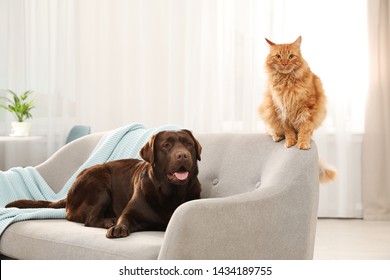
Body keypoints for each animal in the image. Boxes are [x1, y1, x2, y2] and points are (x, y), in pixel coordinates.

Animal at [6, 130, 201, 238]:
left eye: (188, 144)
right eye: (166, 145)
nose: (183, 155)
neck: (169, 192)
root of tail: (68, 194)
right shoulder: (130, 212)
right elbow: (125, 218)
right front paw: (118, 227)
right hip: (99, 181)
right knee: (86, 219)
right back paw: (110, 222)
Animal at [258, 36, 336, 183]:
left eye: (291, 56)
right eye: (278, 56)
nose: (284, 63)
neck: (287, 82)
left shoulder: (308, 109)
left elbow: (305, 129)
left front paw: (303, 143)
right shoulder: (281, 109)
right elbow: (288, 130)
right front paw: (290, 142)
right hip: (267, 109)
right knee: (270, 130)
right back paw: (277, 136)